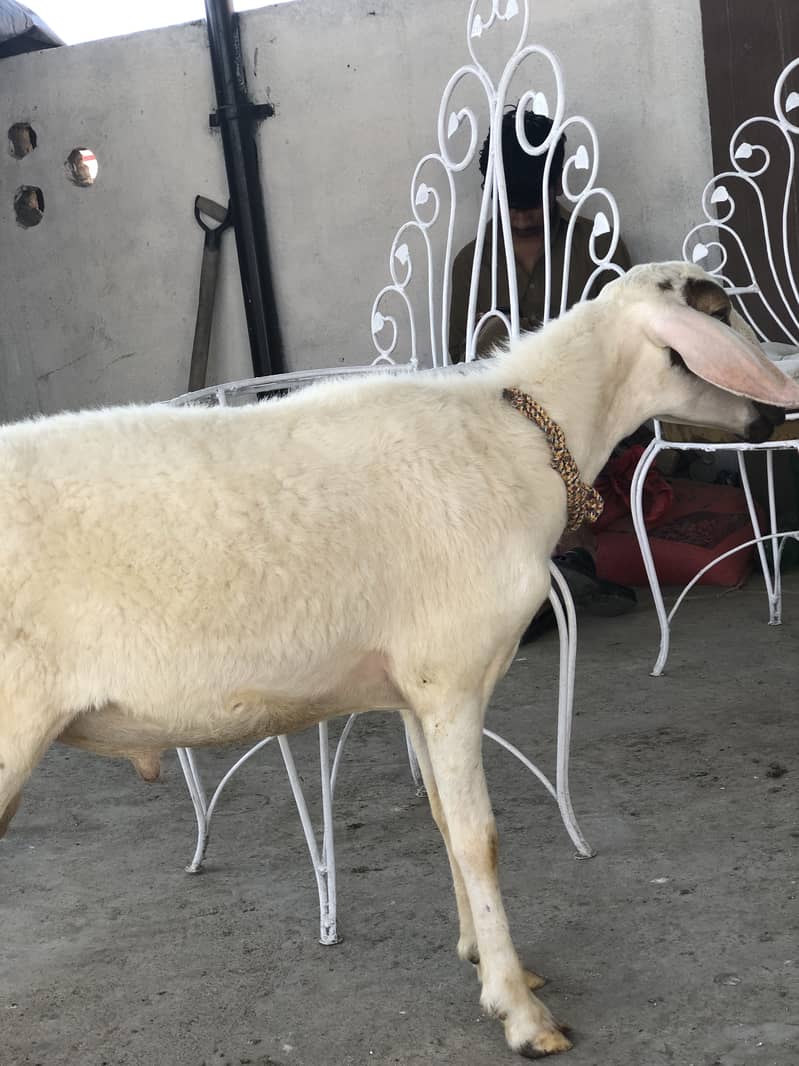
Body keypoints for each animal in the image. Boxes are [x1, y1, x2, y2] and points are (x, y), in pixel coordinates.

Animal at [2, 261, 798, 1058]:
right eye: (720, 314)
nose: (770, 420)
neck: (523, 439)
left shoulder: (417, 691)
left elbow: (445, 822)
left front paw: (481, 956)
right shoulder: (451, 677)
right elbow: (480, 839)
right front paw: (519, 1013)